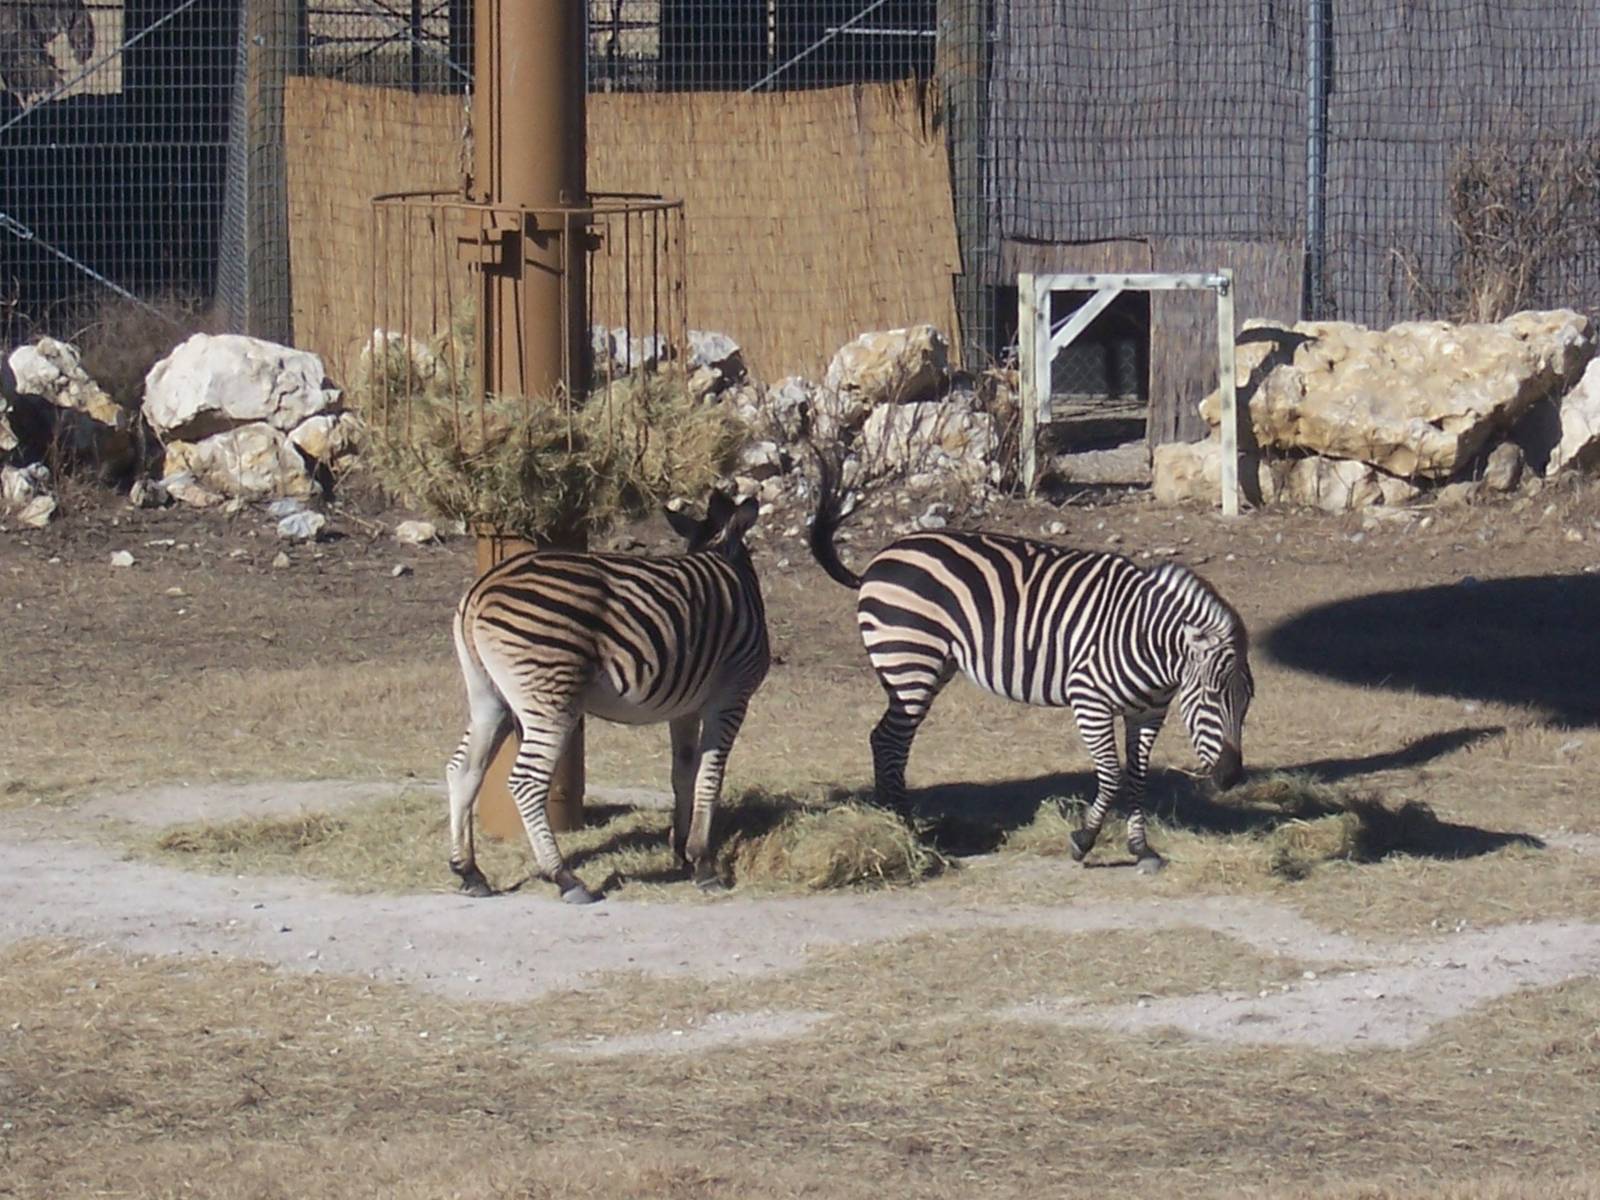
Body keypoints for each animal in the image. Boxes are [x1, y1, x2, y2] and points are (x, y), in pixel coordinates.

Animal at [446, 490, 770, 904]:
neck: (721, 557)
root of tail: (481, 587)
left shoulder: (685, 707)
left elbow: (682, 772)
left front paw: (680, 852)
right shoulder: (730, 697)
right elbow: (710, 776)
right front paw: (702, 863)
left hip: (490, 698)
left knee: (463, 770)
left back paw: (469, 872)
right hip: (550, 700)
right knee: (526, 782)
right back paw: (565, 878)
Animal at [806, 462, 1251, 872]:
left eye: (1247, 703)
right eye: (1210, 697)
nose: (1231, 779)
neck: (1146, 641)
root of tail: (881, 558)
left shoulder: (1149, 713)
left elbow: (1137, 778)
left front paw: (1141, 849)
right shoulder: (1089, 701)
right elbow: (1111, 775)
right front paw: (1083, 840)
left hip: (932, 663)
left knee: (884, 737)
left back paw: (892, 819)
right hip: (909, 661)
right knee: (890, 740)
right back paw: (902, 827)